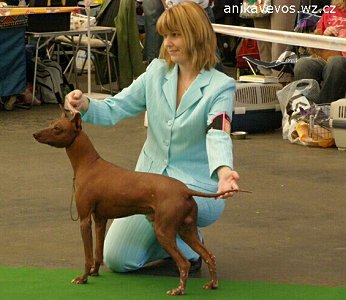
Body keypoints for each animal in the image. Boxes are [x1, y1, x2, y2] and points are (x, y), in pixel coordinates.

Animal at [32, 112, 247, 296]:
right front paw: (94, 272)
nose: (35, 134)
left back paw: (179, 290)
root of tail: (185, 190)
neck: (89, 164)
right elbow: (98, 253)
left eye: (57, 128)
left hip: (164, 231)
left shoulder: (85, 220)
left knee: (184, 263)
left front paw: (83, 278)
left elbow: (87, 256)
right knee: (209, 256)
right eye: (50, 123)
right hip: (187, 230)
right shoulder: (100, 219)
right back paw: (212, 284)